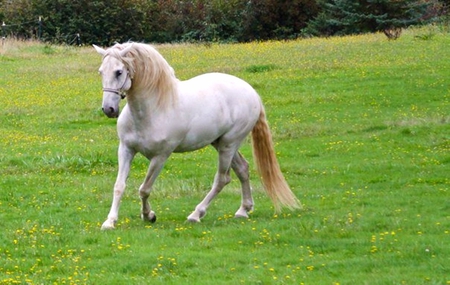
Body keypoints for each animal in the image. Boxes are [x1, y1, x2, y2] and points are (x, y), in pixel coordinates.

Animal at [93, 41, 300, 229]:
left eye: (119, 72)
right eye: (101, 72)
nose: (108, 109)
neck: (153, 109)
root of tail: (251, 92)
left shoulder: (160, 157)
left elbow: (145, 188)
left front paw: (148, 215)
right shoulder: (126, 150)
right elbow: (119, 186)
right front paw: (110, 222)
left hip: (229, 144)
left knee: (222, 179)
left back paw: (196, 214)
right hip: (221, 143)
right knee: (243, 169)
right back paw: (243, 210)